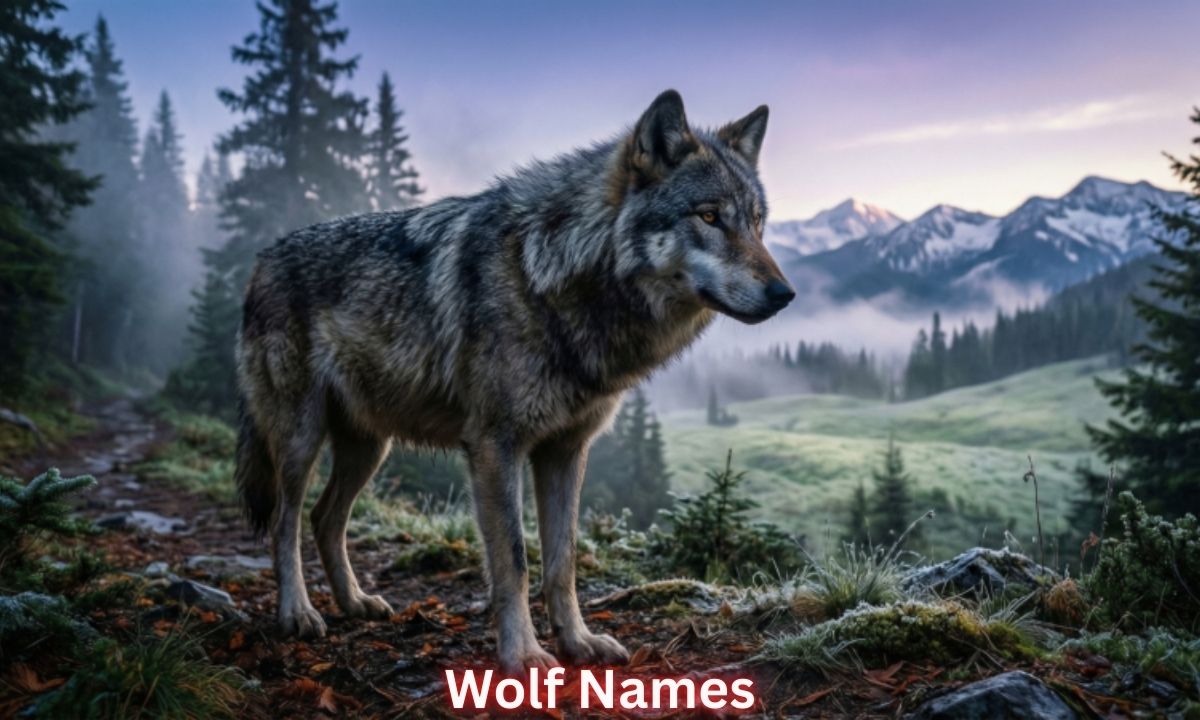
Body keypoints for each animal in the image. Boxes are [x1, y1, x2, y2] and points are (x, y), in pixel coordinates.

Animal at [235, 89, 795, 671]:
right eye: (709, 217)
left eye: (757, 223)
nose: (785, 294)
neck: (554, 274)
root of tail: (261, 260)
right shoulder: (494, 446)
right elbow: (515, 559)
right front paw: (523, 654)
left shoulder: (566, 450)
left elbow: (563, 561)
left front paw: (578, 641)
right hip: (301, 439)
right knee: (285, 522)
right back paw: (297, 613)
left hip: (371, 447)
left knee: (325, 518)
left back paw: (354, 603)